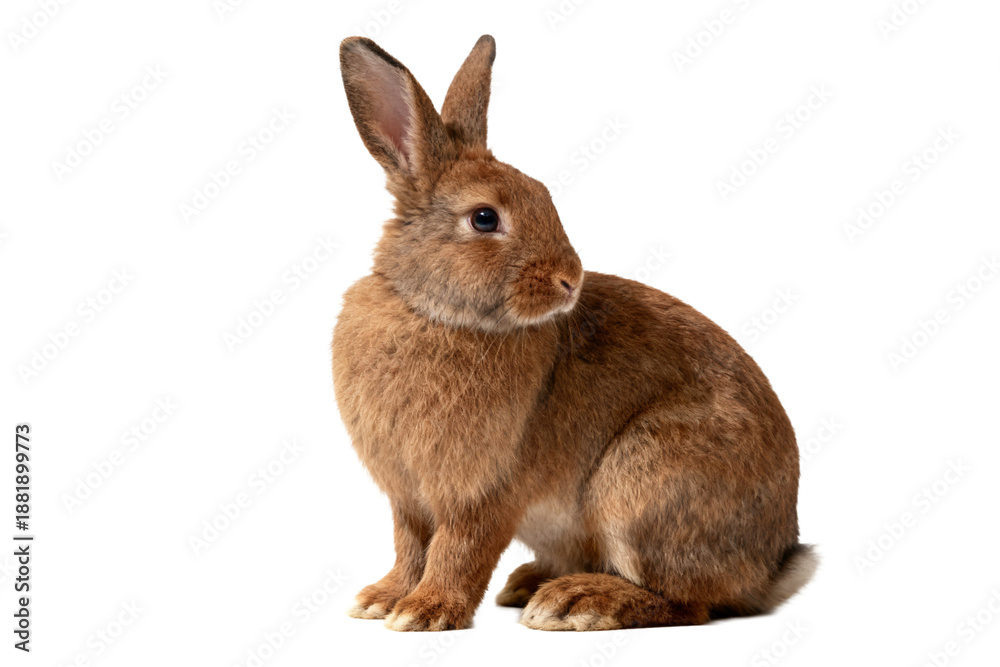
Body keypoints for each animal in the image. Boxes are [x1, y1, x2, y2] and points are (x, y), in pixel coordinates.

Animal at [333, 34, 816, 632]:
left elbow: (457, 550)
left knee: (686, 602)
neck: (432, 312)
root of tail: (769, 569)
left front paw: (425, 612)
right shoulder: (408, 498)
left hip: (641, 484)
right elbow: (411, 547)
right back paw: (533, 584)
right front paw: (381, 600)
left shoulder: (484, 493)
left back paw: (577, 601)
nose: (571, 279)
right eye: (485, 218)